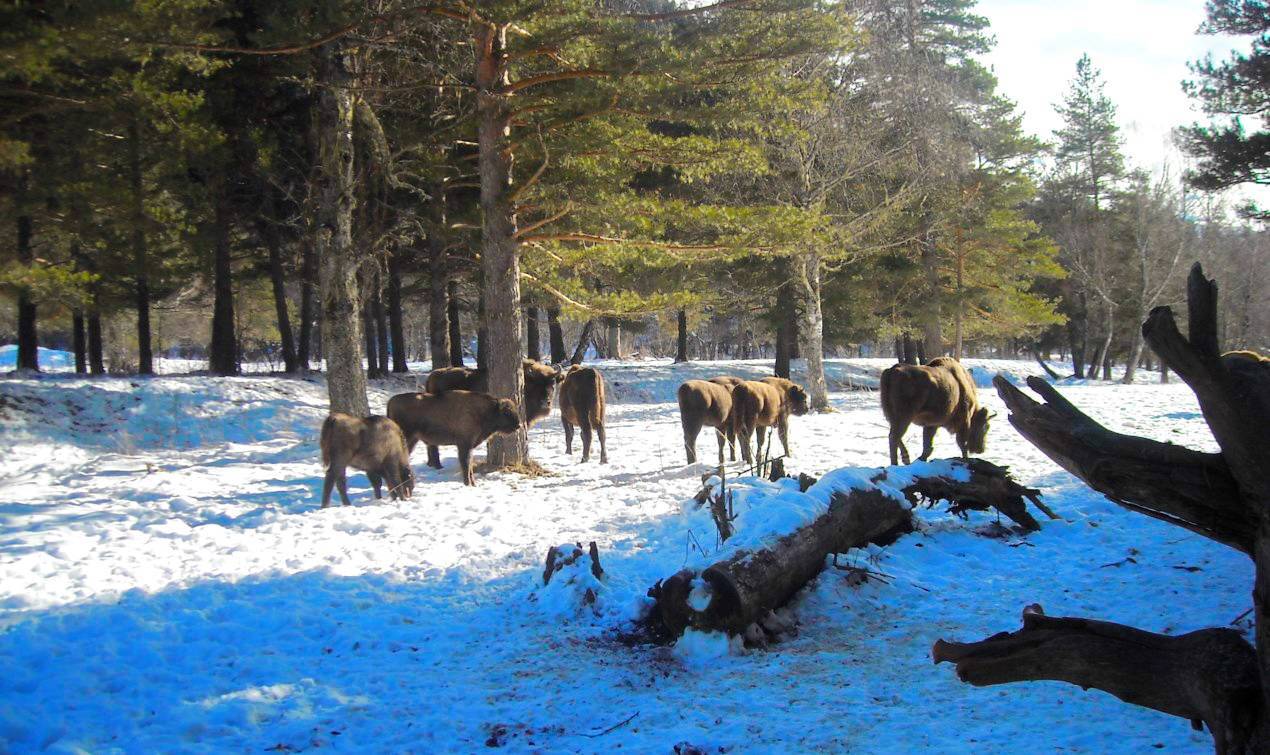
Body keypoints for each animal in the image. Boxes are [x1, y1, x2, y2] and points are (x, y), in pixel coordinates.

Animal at [388, 383, 523, 485]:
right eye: (507, 412)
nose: (519, 425)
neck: (486, 411)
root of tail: (391, 402)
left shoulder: (468, 446)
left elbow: (469, 465)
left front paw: (472, 482)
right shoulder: (464, 445)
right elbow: (466, 464)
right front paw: (469, 483)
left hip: (413, 439)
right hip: (407, 438)